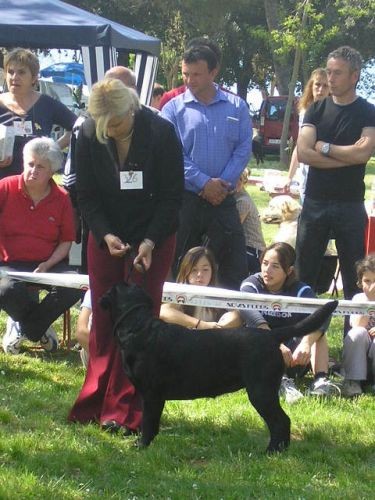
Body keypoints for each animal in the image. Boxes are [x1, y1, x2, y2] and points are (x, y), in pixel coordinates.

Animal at [100, 286, 338, 454]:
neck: (138, 328)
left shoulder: (152, 395)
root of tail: (271, 335)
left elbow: (148, 423)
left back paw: (271, 452)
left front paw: (141, 446)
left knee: (281, 421)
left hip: (260, 391)